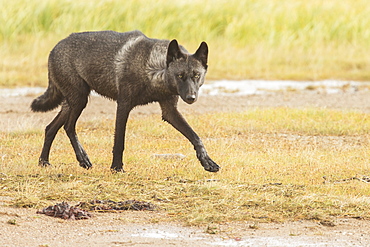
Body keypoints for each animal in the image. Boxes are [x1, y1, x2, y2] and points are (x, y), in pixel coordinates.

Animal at [31, 29, 220, 173]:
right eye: (180, 76)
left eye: (196, 75)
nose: (191, 98)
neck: (153, 69)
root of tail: (54, 48)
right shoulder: (123, 106)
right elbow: (119, 141)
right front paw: (116, 168)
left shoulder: (169, 112)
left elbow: (195, 137)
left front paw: (207, 162)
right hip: (79, 101)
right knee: (68, 127)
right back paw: (83, 159)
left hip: (71, 103)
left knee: (50, 128)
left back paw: (44, 162)